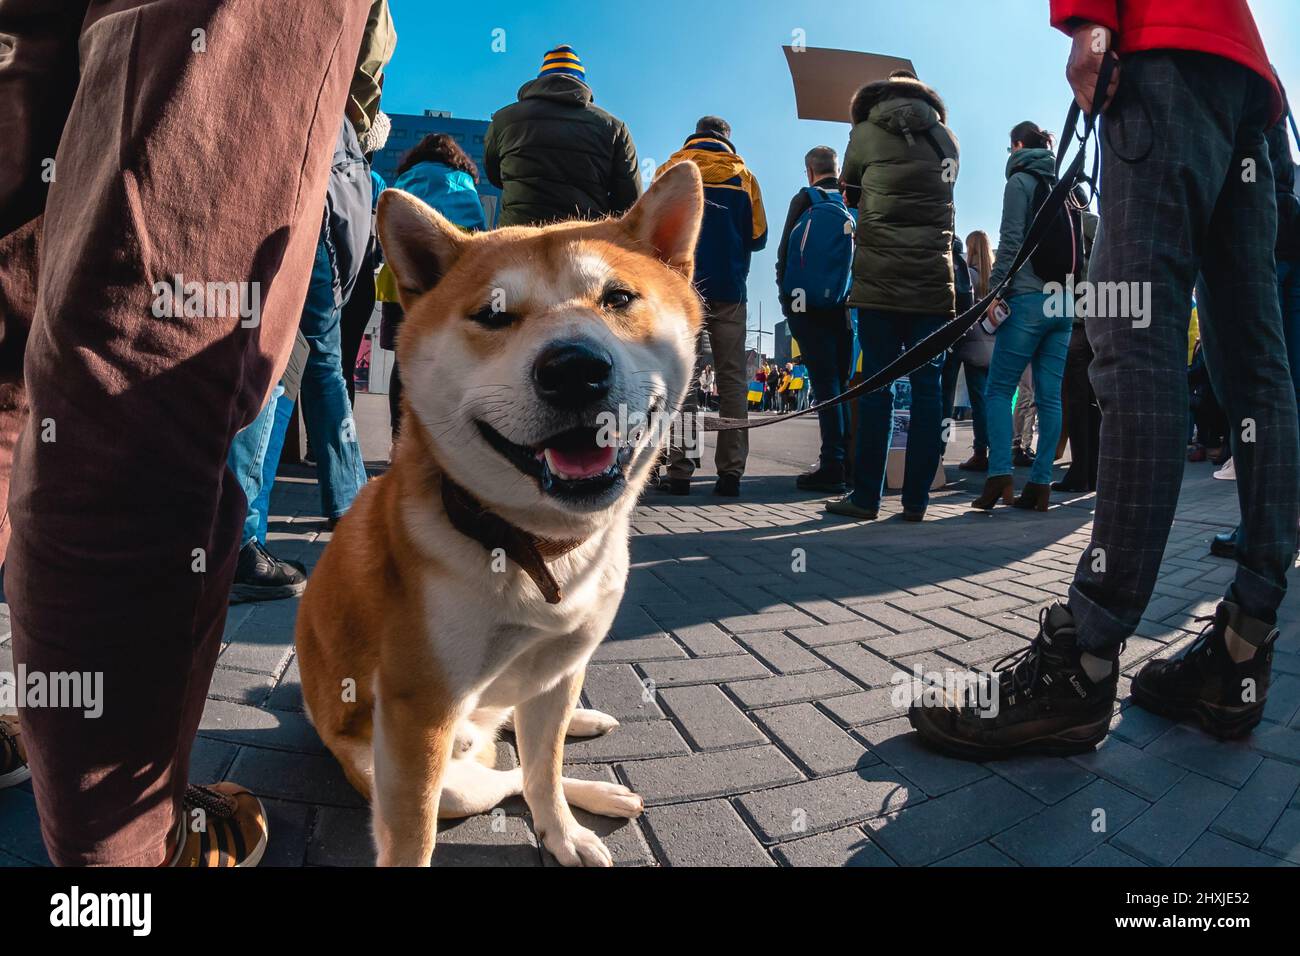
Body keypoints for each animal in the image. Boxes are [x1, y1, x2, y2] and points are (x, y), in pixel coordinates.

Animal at [296, 160, 707, 863]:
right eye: (494, 315)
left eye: (619, 299)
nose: (574, 368)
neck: (529, 546)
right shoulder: (418, 714)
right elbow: (418, 836)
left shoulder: (559, 669)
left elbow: (544, 771)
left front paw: (562, 833)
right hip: (430, 772)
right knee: (499, 774)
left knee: (526, 755)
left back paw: (587, 756)